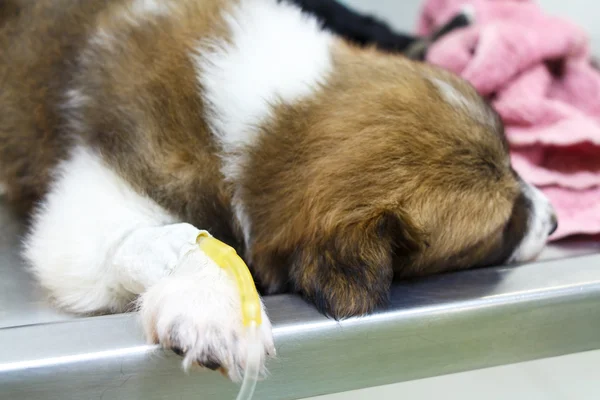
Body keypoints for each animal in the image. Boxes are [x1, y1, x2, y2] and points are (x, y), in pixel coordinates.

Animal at [0, 0, 556, 380]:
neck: (270, 122)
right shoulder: (92, 197)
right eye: (503, 227)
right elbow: (162, 237)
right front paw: (215, 297)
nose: (553, 221)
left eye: (514, 158)